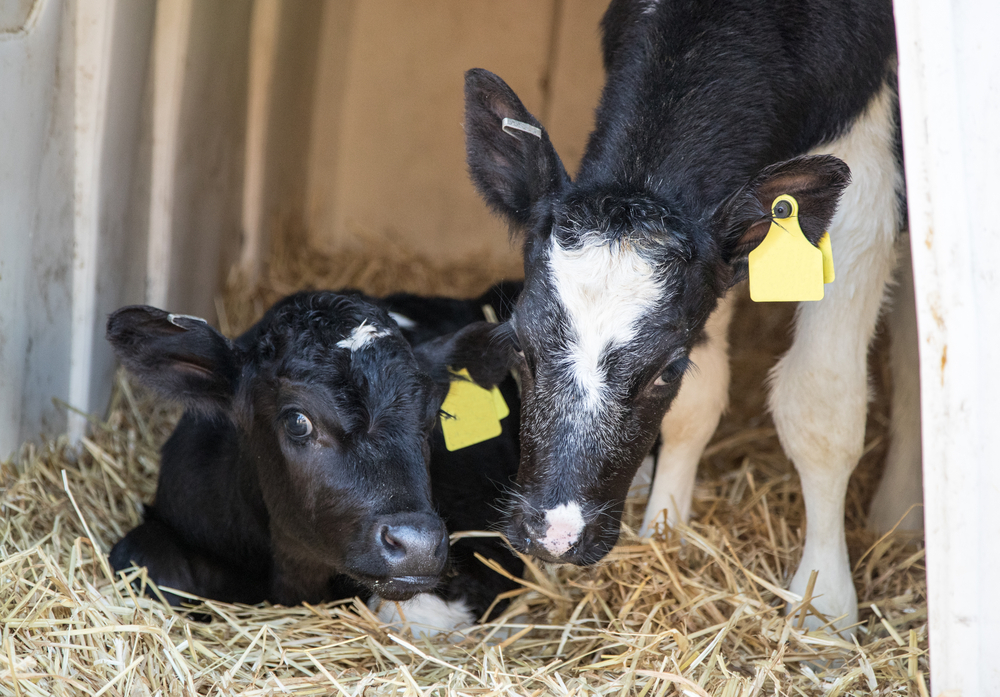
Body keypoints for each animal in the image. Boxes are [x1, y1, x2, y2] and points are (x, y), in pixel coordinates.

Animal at [461, 0, 918, 633]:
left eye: (666, 370)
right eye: (520, 348)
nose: (555, 534)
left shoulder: (867, 184)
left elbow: (820, 406)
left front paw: (822, 607)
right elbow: (696, 406)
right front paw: (664, 532)